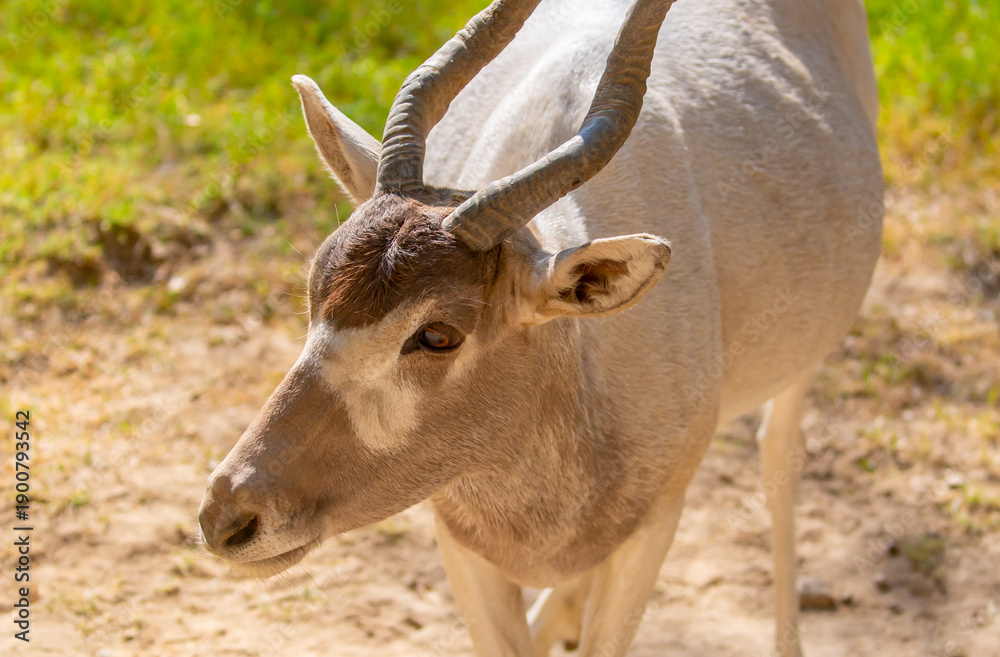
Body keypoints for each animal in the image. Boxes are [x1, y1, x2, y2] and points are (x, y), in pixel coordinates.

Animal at [198, 0, 882, 655]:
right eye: (316, 288)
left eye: (438, 334)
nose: (225, 518)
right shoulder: (461, 543)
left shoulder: (655, 527)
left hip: (802, 363)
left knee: (779, 454)